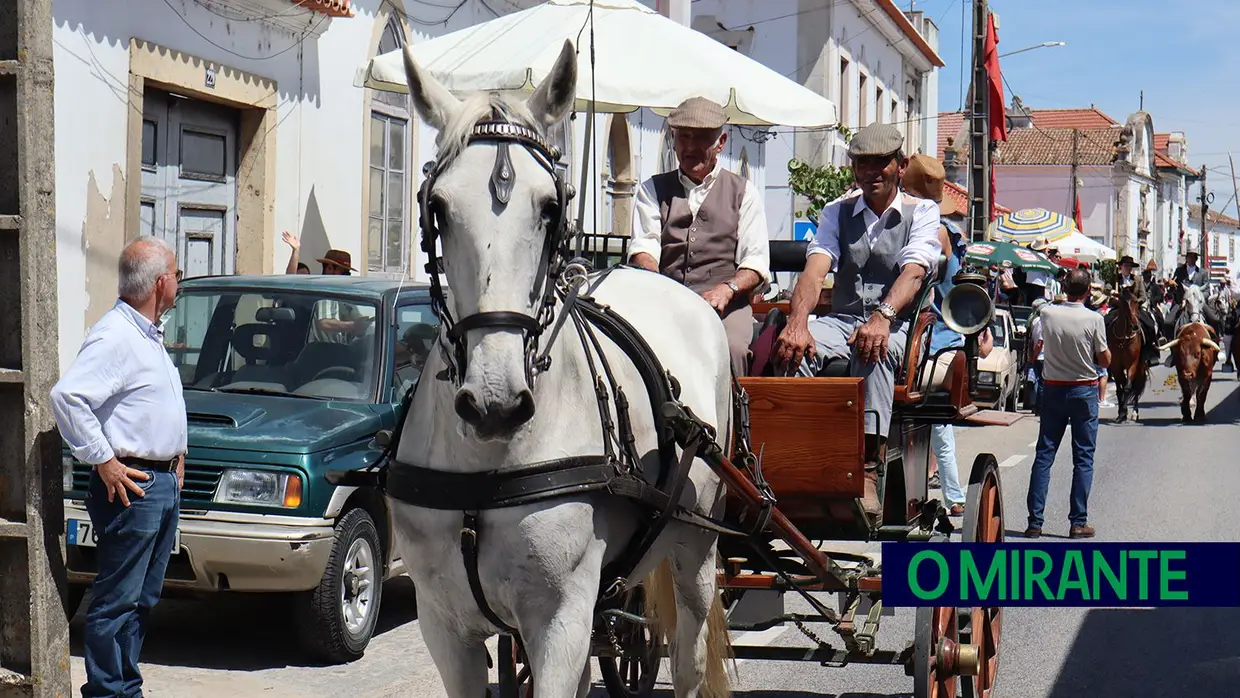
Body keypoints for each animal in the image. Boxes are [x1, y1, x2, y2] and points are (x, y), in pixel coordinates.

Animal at [389, 40, 734, 698]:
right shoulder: (444, 624)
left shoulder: (560, 620)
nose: (493, 404)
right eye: (438, 208)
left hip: (696, 547)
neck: (486, 467)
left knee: (689, 656)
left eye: (550, 208)